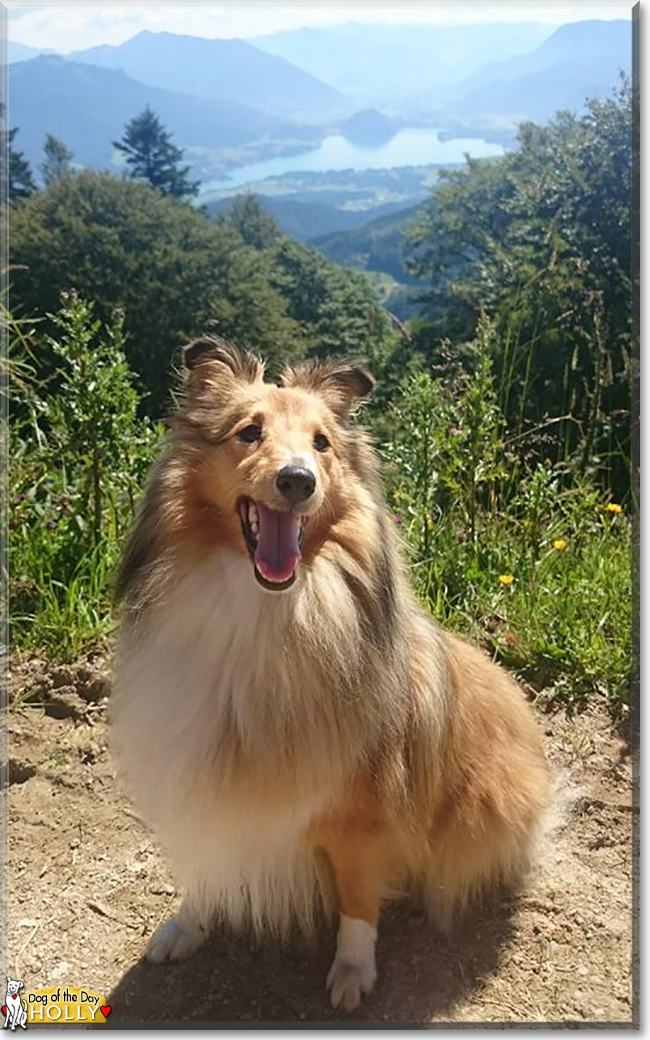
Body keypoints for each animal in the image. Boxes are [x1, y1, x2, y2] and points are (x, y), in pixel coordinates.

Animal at [111, 336, 549, 1010]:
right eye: (248, 431)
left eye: (321, 443)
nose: (298, 480)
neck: (266, 610)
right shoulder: (203, 772)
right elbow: (207, 861)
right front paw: (187, 926)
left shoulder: (363, 817)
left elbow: (357, 903)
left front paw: (351, 974)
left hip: (485, 801)